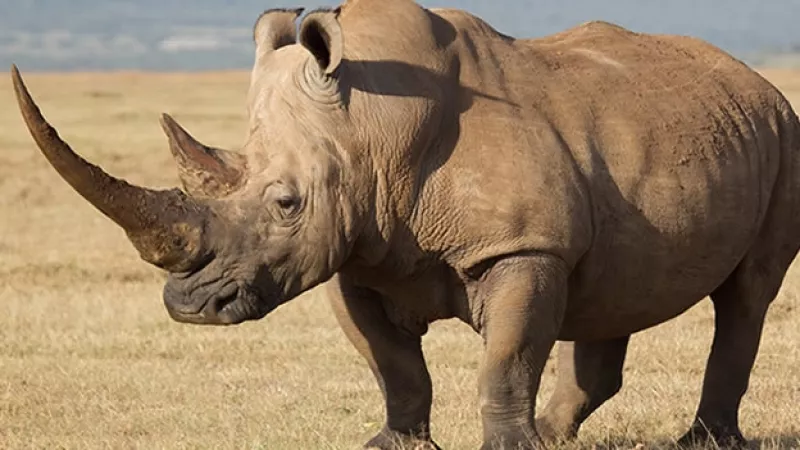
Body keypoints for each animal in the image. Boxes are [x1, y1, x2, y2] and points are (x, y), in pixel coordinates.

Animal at [11, 0, 800, 448]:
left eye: (286, 203)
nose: (190, 305)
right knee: (611, 289)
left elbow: (506, 359)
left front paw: (510, 448)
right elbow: (392, 364)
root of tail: (753, 79)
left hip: (782, 130)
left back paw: (702, 441)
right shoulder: (352, 249)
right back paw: (558, 437)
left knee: (746, 296)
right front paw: (393, 443)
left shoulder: (520, 247)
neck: (370, 130)